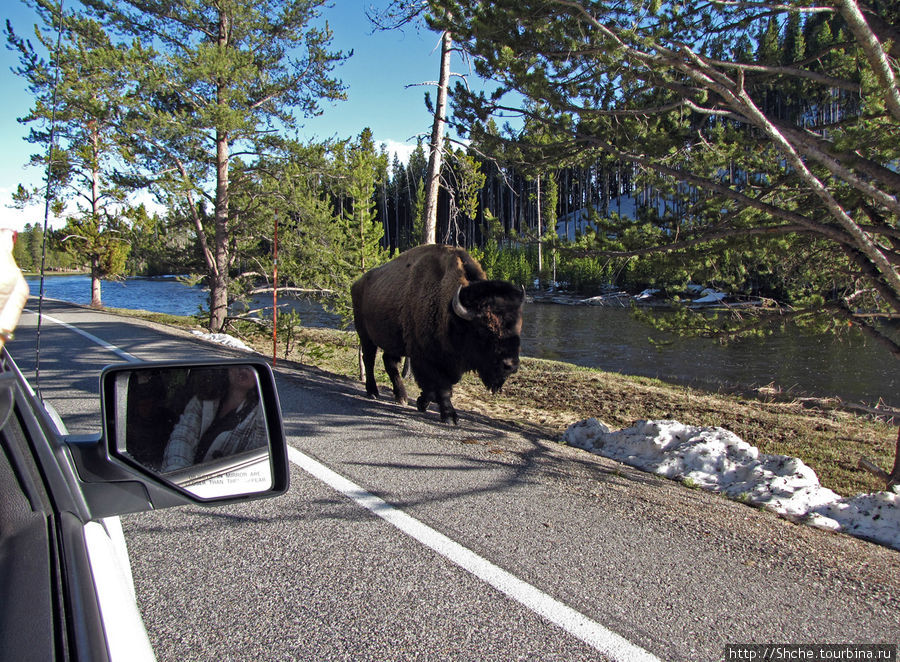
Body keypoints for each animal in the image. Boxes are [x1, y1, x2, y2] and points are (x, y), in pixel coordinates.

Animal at [348, 244, 524, 426]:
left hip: (393, 342)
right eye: (483, 330)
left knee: (389, 362)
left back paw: (402, 397)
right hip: (365, 335)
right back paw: (373, 391)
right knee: (369, 360)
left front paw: (422, 402)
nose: (510, 365)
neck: (449, 309)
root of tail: (357, 284)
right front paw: (450, 416)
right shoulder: (426, 357)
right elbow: (441, 387)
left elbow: (437, 387)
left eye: (518, 327)